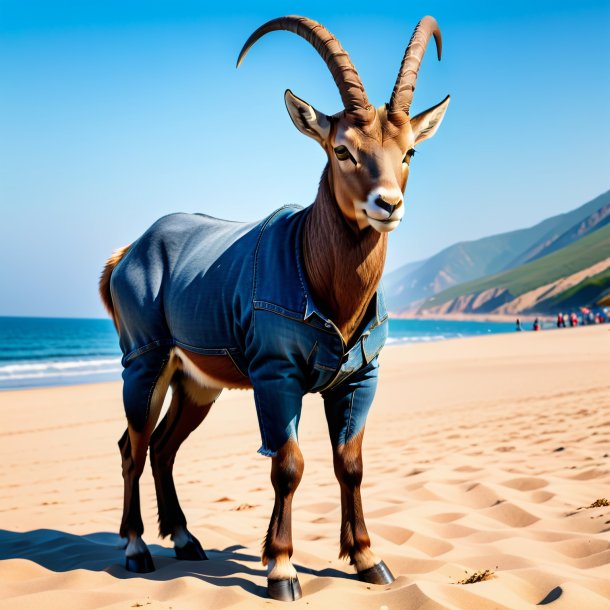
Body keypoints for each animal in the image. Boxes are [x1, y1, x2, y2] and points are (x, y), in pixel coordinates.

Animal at [100, 14, 446, 600]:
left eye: (409, 152)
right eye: (343, 149)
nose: (387, 204)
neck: (312, 265)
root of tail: (129, 251)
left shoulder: (359, 379)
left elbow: (350, 463)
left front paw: (367, 558)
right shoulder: (275, 376)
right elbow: (287, 464)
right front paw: (282, 569)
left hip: (196, 383)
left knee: (165, 447)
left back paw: (186, 540)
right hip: (144, 364)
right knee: (134, 446)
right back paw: (136, 548)